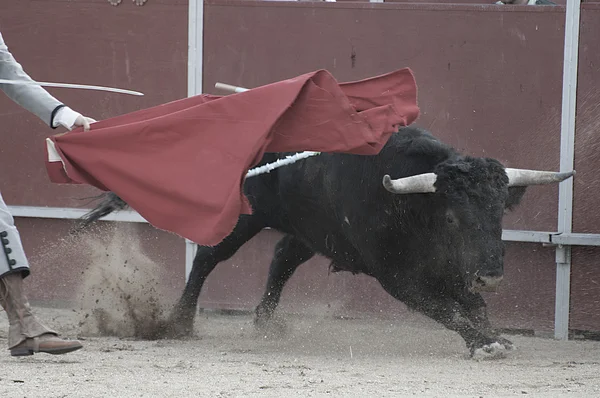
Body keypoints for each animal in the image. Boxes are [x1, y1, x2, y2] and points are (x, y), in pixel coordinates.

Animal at [77, 127, 576, 358]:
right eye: (452, 216)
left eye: (499, 213)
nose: (492, 276)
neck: (415, 208)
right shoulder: (398, 277)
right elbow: (447, 310)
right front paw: (485, 343)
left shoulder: (454, 269)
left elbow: (470, 305)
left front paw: (491, 337)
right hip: (244, 217)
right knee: (208, 258)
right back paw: (178, 323)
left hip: (310, 230)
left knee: (281, 259)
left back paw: (265, 324)